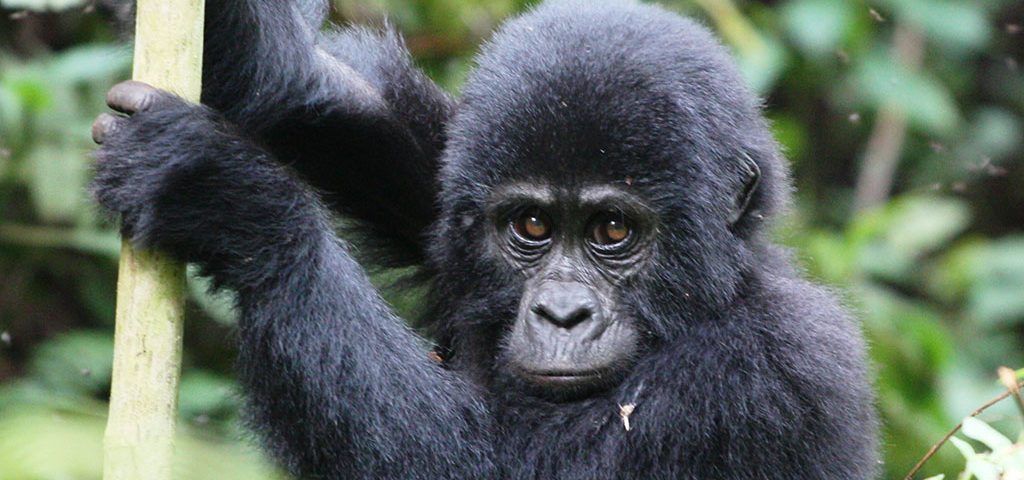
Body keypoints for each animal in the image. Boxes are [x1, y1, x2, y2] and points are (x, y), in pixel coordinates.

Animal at [92, 0, 880, 478]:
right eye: (531, 226)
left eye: (613, 230)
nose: (563, 313)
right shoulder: (448, 178)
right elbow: (292, 87)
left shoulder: (770, 373)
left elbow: (467, 465)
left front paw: (231, 199)